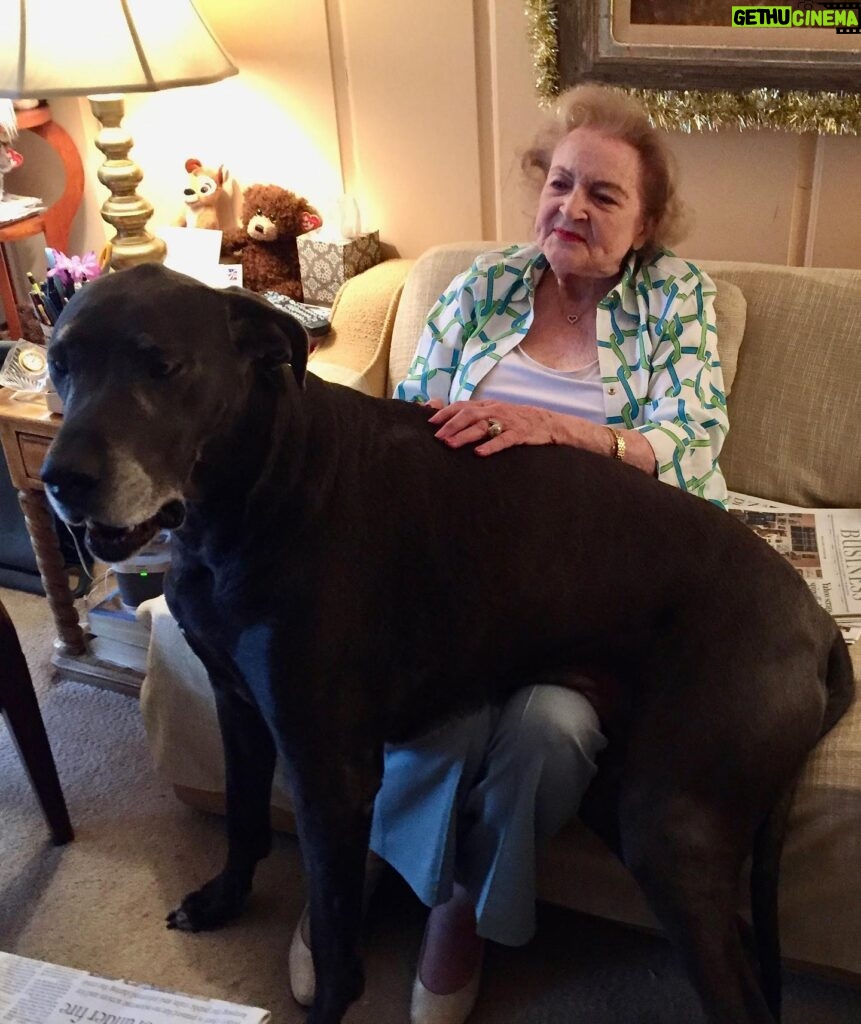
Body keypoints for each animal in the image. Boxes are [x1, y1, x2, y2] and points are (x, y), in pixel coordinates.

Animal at [45, 266, 851, 1024]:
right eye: (60, 362)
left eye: (161, 366)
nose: (61, 480)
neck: (256, 489)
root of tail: (817, 625)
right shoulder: (236, 706)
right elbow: (243, 821)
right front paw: (220, 902)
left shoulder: (327, 768)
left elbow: (336, 941)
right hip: (630, 799)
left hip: (671, 826)